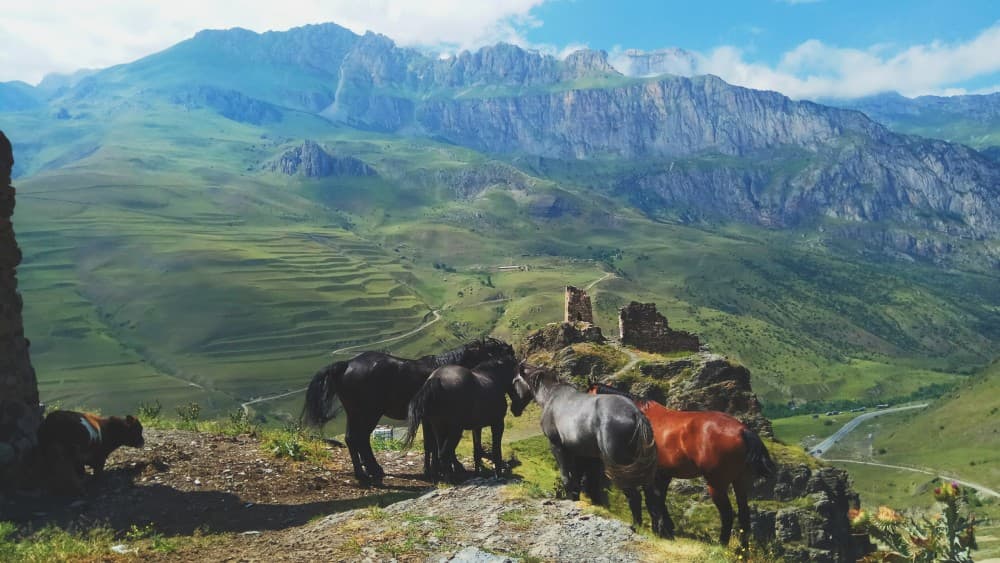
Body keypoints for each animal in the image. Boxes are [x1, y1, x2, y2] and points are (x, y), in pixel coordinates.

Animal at [302, 337, 515, 484]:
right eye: (501, 354)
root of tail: (346, 365)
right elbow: (439, 445)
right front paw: (448, 470)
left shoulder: (429, 420)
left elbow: (431, 445)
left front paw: (432, 470)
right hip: (368, 413)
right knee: (358, 438)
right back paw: (368, 473)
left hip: (355, 413)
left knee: (354, 439)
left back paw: (369, 471)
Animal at [510, 364, 658, 529]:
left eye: (515, 381)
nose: (513, 409)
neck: (552, 396)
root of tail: (636, 413)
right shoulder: (581, 455)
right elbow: (580, 482)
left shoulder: (558, 447)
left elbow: (567, 478)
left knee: (634, 496)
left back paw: (635, 526)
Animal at [588, 382, 776, 547]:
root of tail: (742, 430)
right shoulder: (662, 475)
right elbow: (658, 500)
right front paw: (665, 529)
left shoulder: (652, 475)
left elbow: (652, 501)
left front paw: (661, 530)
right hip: (740, 482)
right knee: (744, 515)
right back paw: (742, 550)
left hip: (716, 484)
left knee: (727, 514)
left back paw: (721, 545)